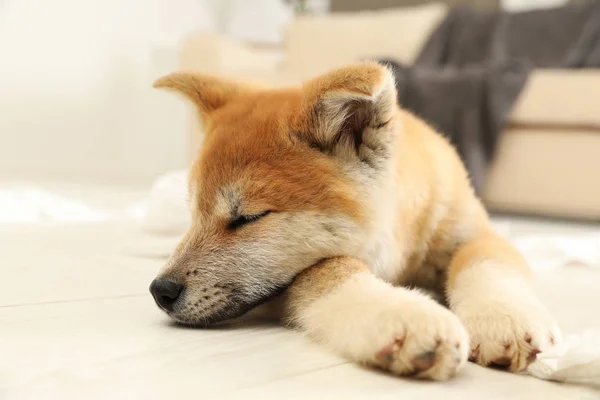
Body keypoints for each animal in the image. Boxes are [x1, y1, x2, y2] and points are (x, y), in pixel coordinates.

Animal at [149, 62, 556, 382]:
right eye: (195, 214)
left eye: (247, 217)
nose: (160, 290)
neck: (405, 246)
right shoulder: (308, 273)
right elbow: (337, 270)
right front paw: (405, 314)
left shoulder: (472, 232)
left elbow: (485, 264)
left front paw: (504, 317)